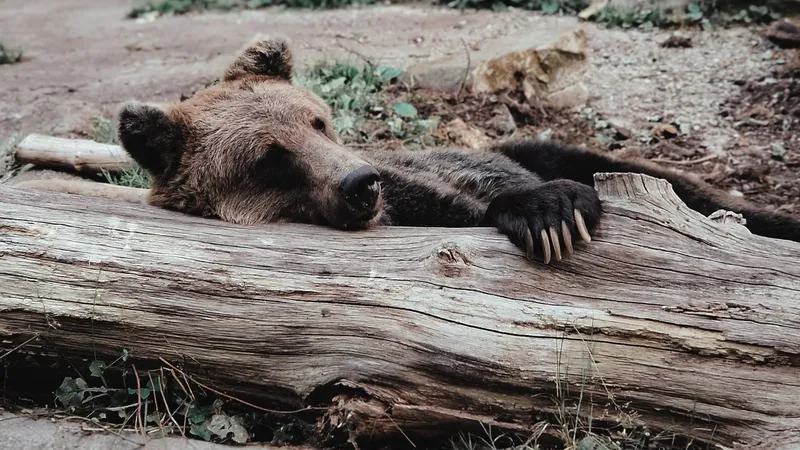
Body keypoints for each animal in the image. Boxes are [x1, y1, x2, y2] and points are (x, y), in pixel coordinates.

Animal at [117, 38, 800, 264]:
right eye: (269, 157)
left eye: (319, 122)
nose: (360, 182)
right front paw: (547, 215)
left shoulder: (419, 182)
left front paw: (551, 210)